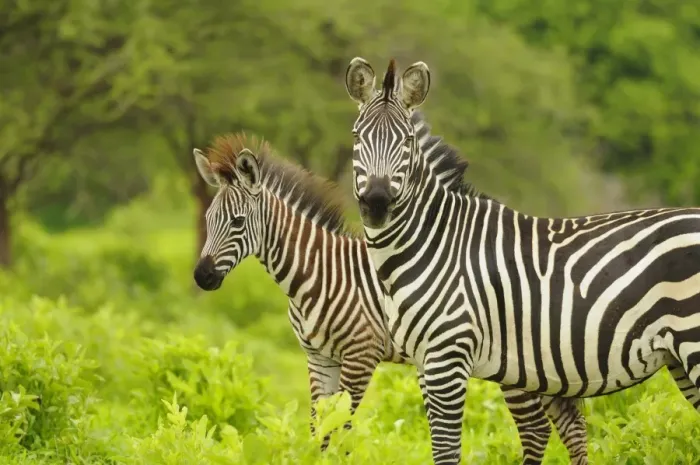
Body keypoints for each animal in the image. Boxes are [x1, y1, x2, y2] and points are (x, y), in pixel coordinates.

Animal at [191, 132, 589, 463]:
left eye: (238, 222)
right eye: (208, 219)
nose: (201, 277)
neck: (317, 273)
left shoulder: (360, 355)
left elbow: (341, 430)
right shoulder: (318, 358)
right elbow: (319, 430)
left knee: (539, 429)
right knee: (572, 428)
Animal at [344, 56, 700, 465]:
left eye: (406, 142)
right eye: (356, 137)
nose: (376, 203)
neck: (431, 244)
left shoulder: (447, 358)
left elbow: (446, 450)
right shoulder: (425, 363)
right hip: (678, 358)